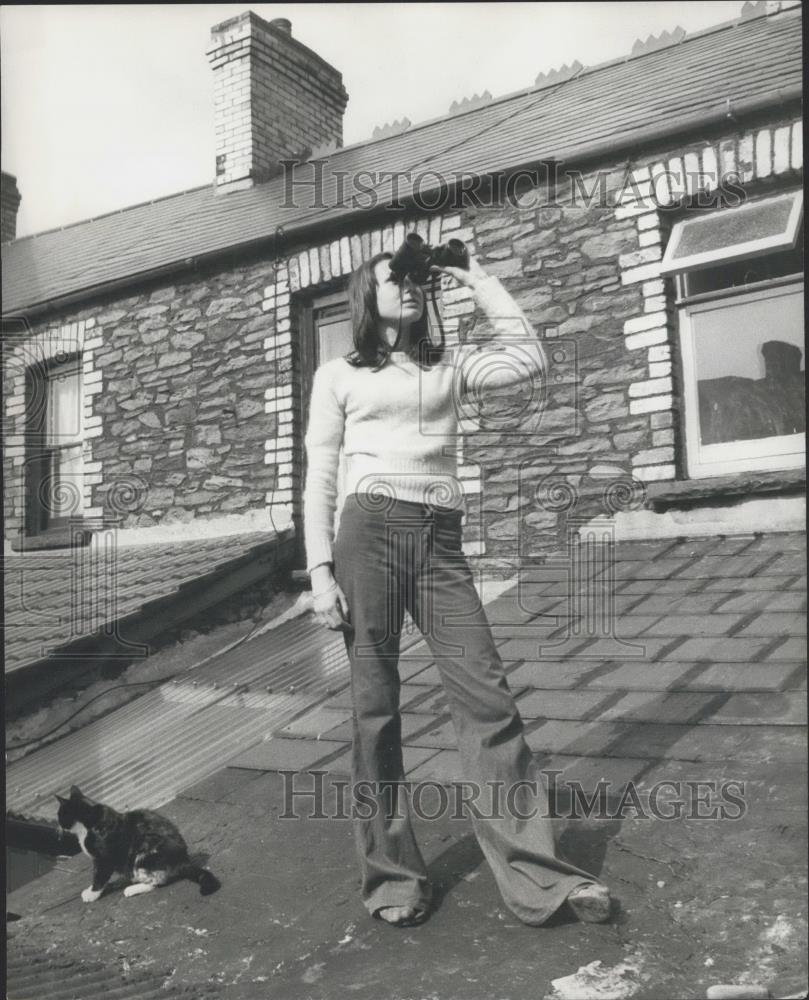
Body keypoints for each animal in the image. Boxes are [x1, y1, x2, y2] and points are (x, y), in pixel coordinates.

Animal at [54, 784, 219, 904]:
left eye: (60, 815)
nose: (58, 825)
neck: (87, 825)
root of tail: (183, 861)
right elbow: (97, 874)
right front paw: (93, 889)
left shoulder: (104, 859)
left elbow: (99, 876)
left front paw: (92, 894)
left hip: (144, 854)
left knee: (159, 880)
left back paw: (132, 889)